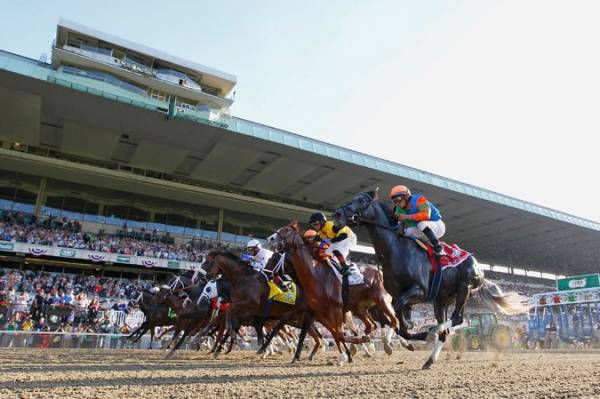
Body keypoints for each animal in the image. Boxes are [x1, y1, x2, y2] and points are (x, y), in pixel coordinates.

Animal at [336, 191, 528, 368]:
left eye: (362, 200)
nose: (337, 213)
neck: (395, 249)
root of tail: (479, 266)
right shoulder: (404, 298)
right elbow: (400, 323)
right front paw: (410, 335)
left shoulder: (419, 291)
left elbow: (400, 319)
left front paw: (419, 334)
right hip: (442, 300)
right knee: (444, 330)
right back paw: (429, 359)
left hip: (464, 289)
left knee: (457, 319)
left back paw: (435, 330)